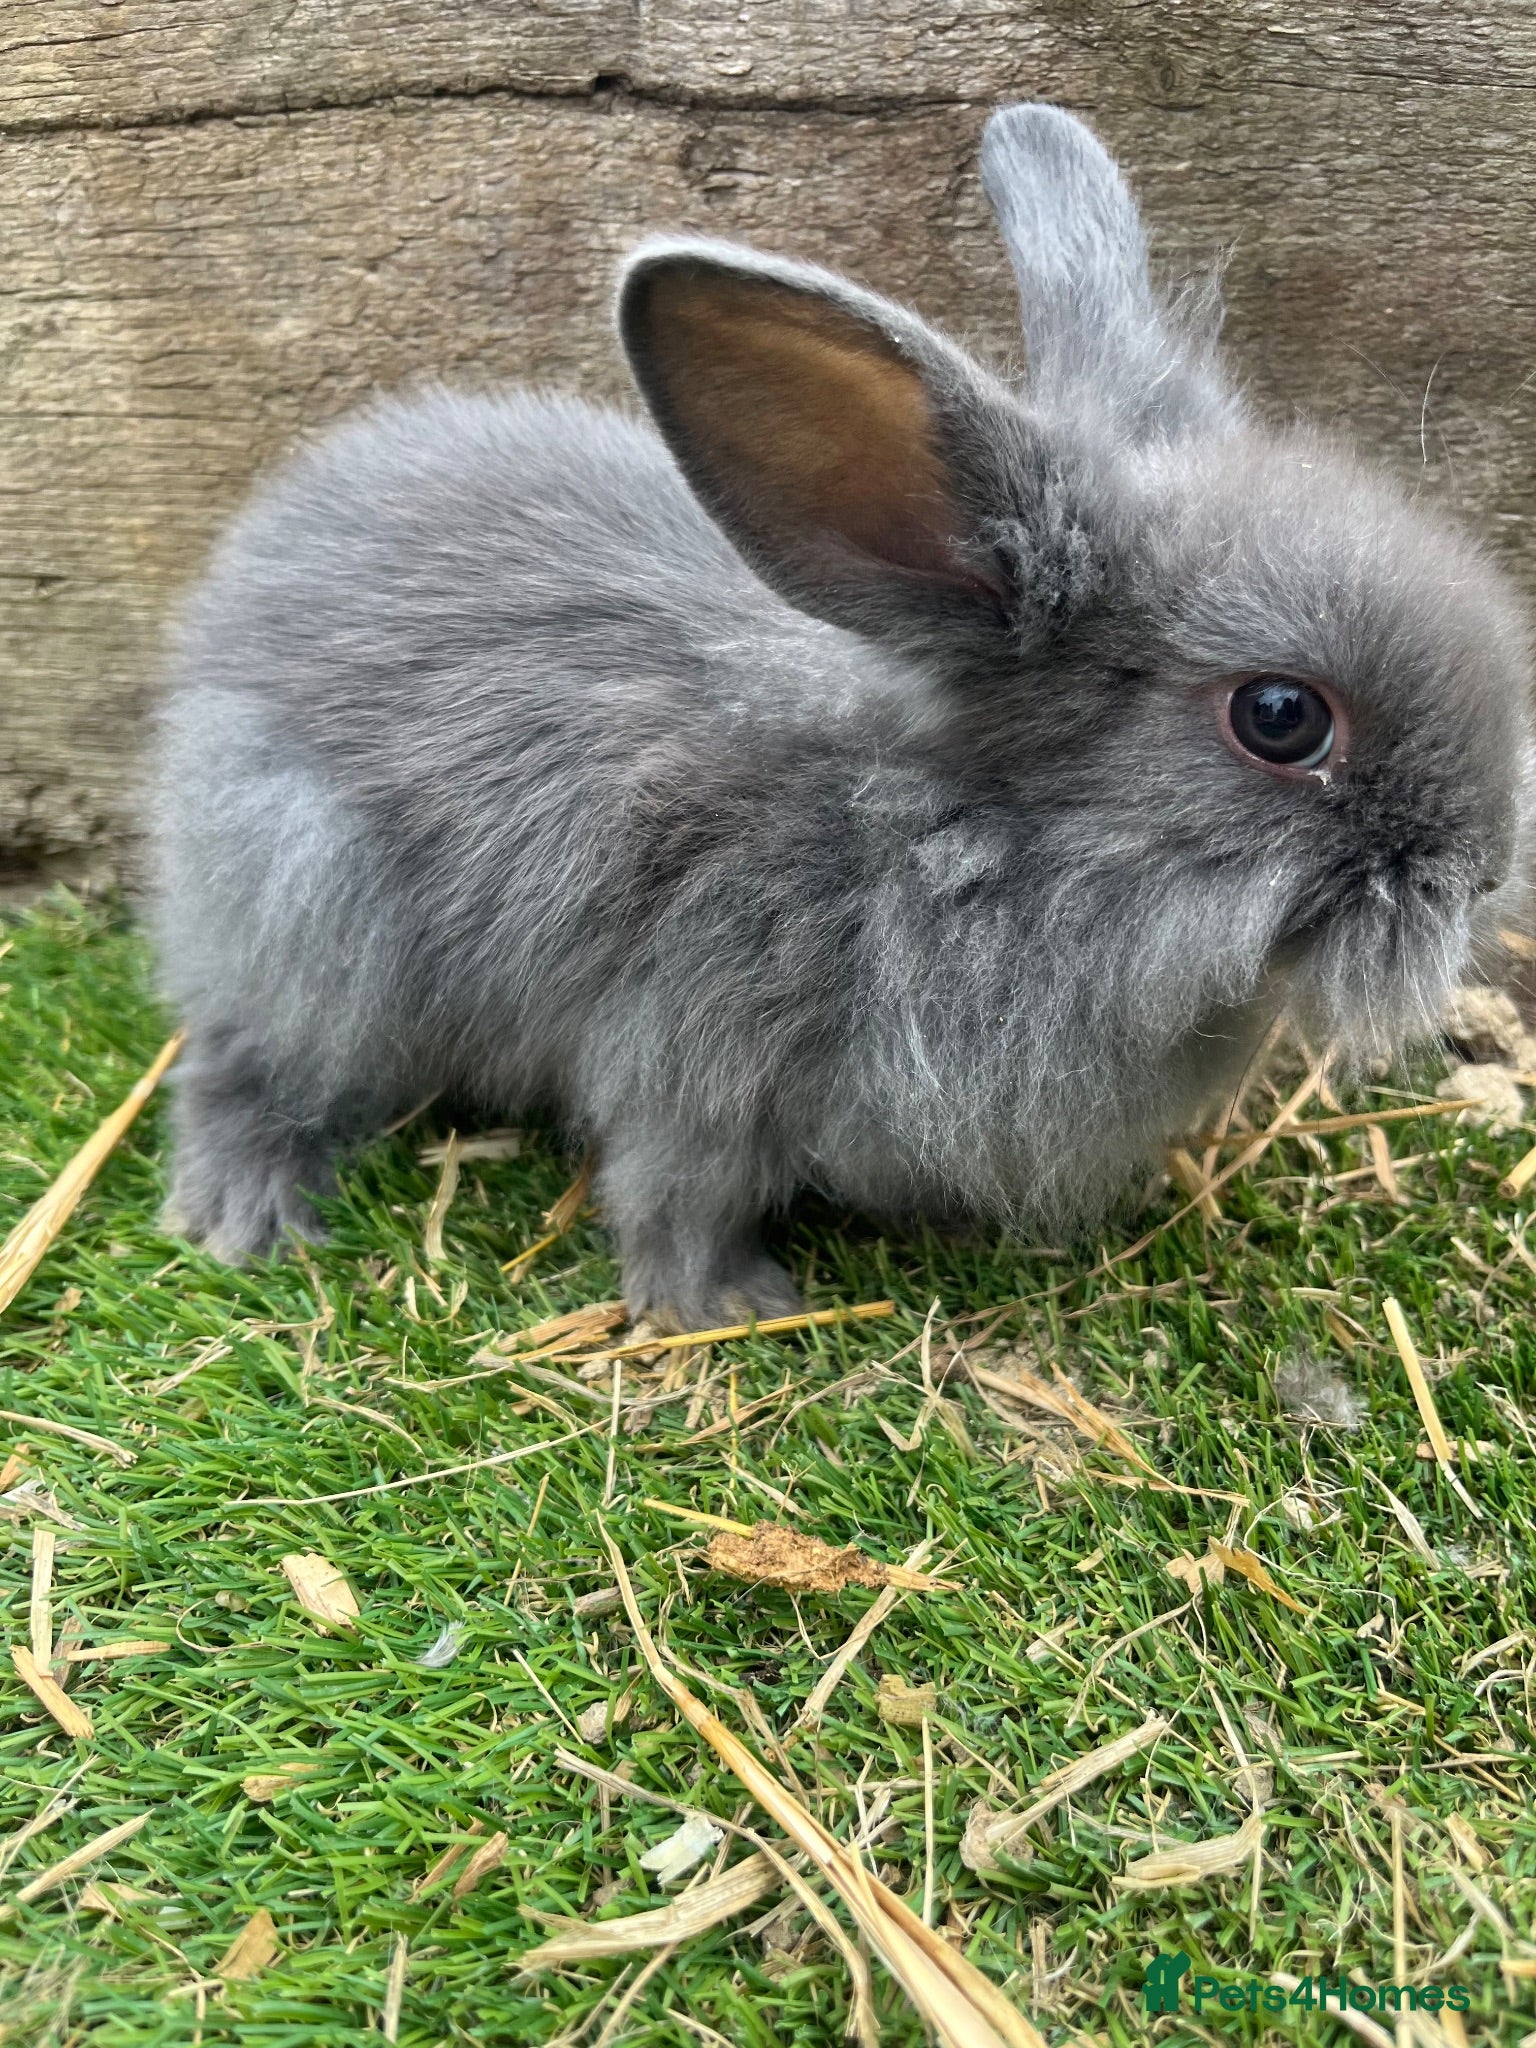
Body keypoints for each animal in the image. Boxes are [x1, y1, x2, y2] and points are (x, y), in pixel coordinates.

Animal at [151, 103, 1535, 1329]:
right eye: (1283, 716)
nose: (1484, 870)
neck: (955, 836)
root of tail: (232, 600)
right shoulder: (696, 1048)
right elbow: (674, 1189)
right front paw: (717, 1306)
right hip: (316, 910)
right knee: (237, 1055)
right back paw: (245, 1212)